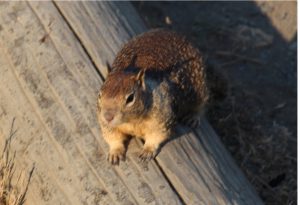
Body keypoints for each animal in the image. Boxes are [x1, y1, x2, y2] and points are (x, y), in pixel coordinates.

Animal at [96, 28, 209, 164]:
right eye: (100, 94)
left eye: (130, 98)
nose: (107, 117)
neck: (132, 120)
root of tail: (174, 33)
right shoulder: (106, 123)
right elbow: (112, 136)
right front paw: (115, 152)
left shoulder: (162, 119)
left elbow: (156, 136)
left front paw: (147, 151)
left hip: (200, 87)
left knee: (201, 104)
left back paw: (193, 117)